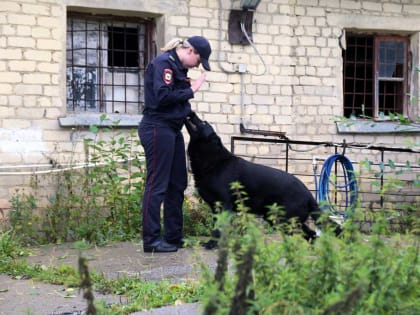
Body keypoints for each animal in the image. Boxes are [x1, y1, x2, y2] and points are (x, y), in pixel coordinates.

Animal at [185, 112, 340, 248]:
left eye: (203, 123)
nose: (191, 112)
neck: (214, 160)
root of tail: (308, 195)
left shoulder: (224, 205)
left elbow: (218, 229)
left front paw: (213, 244)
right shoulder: (215, 207)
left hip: (285, 220)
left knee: (310, 234)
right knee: (311, 234)